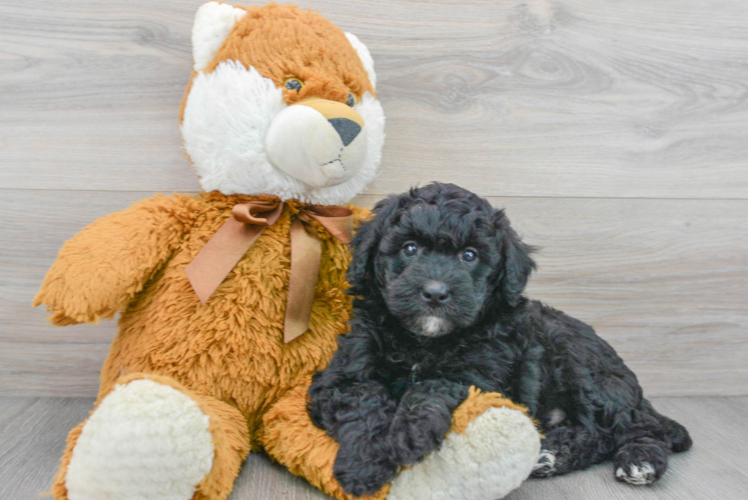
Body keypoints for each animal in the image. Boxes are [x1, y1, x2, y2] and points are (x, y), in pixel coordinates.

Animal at [306, 182, 692, 494]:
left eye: (470, 255)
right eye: (410, 248)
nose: (435, 293)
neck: (424, 341)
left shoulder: (480, 375)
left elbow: (432, 388)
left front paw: (406, 434)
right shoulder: (342, 374)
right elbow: (363, 401)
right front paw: (365, 463)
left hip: (579, 362)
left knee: (632, 428)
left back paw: (637, 460)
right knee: (595, 432)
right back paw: (551, 453)